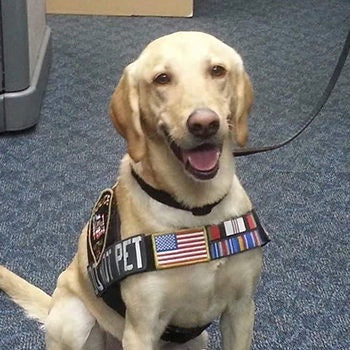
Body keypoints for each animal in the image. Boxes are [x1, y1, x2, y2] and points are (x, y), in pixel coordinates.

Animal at [0, 31, 270, 348]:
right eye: (162, 78)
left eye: (217, 70)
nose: (204, 123)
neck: (196, 210)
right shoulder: (141, 328)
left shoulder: (241, 309)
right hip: (75, 319)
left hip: (198, 338)